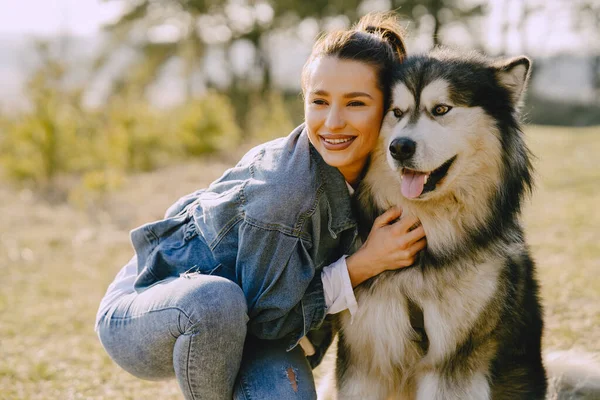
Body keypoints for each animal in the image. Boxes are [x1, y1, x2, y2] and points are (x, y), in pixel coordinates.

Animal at [330, 50, 552, 400]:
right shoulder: (366, 361)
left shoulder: (455, 364)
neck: (427, 251)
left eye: (441, 109)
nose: (400, 147)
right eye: (396, 112)